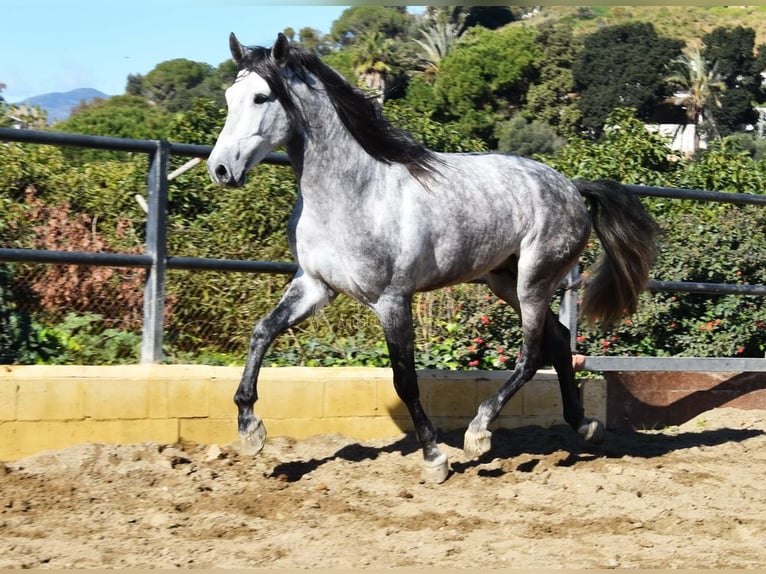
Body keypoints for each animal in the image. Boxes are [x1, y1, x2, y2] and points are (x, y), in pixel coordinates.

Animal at [208, 32, 660, 486]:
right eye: (229, 96)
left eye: (262, 97)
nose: (220, 169)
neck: (354, 193)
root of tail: (570, 186)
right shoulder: (315, 287)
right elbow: (261, 332)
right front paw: (251, 430)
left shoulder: (391, 300)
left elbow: (405, 380)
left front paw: (434, 457)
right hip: (505, 281)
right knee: (559, 340)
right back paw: (584, 426)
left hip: (534, 280)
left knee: (532, 354)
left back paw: (479, 433)